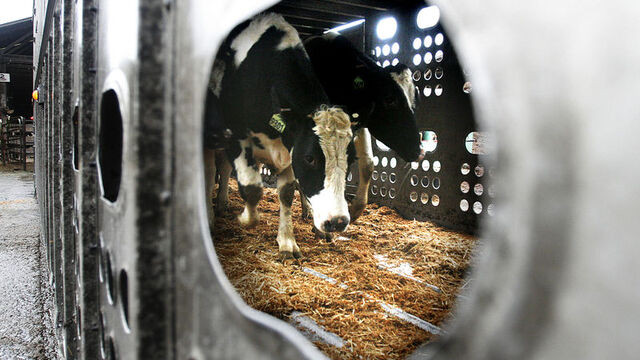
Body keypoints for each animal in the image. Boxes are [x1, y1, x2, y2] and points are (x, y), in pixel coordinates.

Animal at [204, 14, 352, 260]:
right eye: (310, 158)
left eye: (351, 159)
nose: (338, 222)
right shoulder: (235, 137)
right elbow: (252, 188)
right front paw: (246, 218)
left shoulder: (288, 148)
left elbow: (286, 193)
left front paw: (287, 242)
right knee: (212, 172)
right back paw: (211, 213)